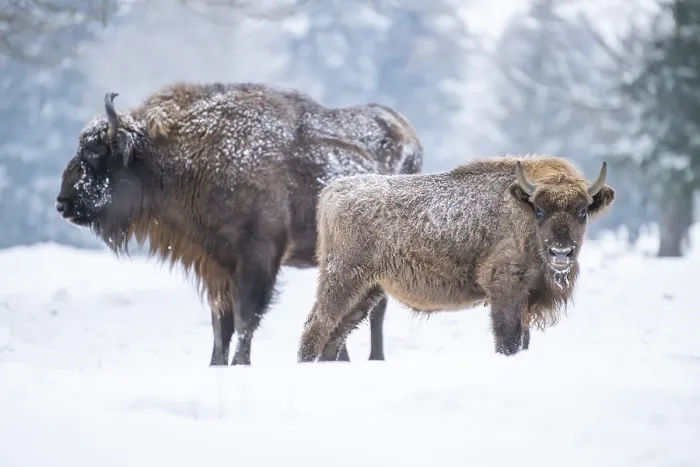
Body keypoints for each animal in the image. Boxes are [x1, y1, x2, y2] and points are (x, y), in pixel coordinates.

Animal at [55, 81, 423, 366]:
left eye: (95, 153)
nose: (63, 203)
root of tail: (405, 131)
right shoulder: (217, 265)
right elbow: (222, 323)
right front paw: (215, 364)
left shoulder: (258, 258)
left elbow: (247, 318)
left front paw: (240, 364)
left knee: (376, 310)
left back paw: (374, 360)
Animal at [297, 155, 614, 361]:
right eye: (539, 210)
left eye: (582, 211)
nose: (561, 253)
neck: (520, 207)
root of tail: (332, 191)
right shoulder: (505, 290)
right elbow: (508, 338)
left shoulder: (527, 297)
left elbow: (523, 340)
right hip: (344, 278)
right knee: (317, 326)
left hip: (367, 290)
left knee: (336, 335)